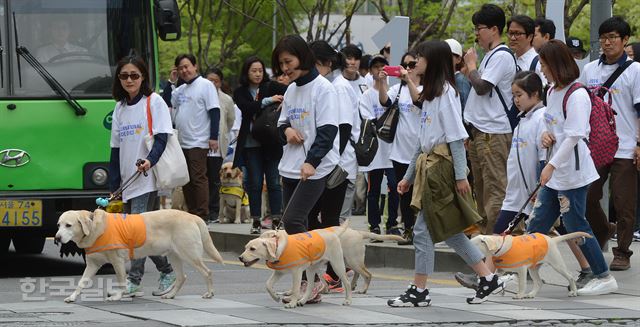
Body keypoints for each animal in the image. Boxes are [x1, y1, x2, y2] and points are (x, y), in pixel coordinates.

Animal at [55, 211, 225, 304]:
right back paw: (170, 295)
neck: (94, 228)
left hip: (189, 254)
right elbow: (81, 283)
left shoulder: (117, 261)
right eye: (58, 225)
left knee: (207, 272)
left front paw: (117, 297)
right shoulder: (92, 264)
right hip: (174, 255)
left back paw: (209, 293)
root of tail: (193, 216)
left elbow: (122, 282)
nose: (57, 238)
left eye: (68, 225)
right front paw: (72, 297)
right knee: (182, 277)